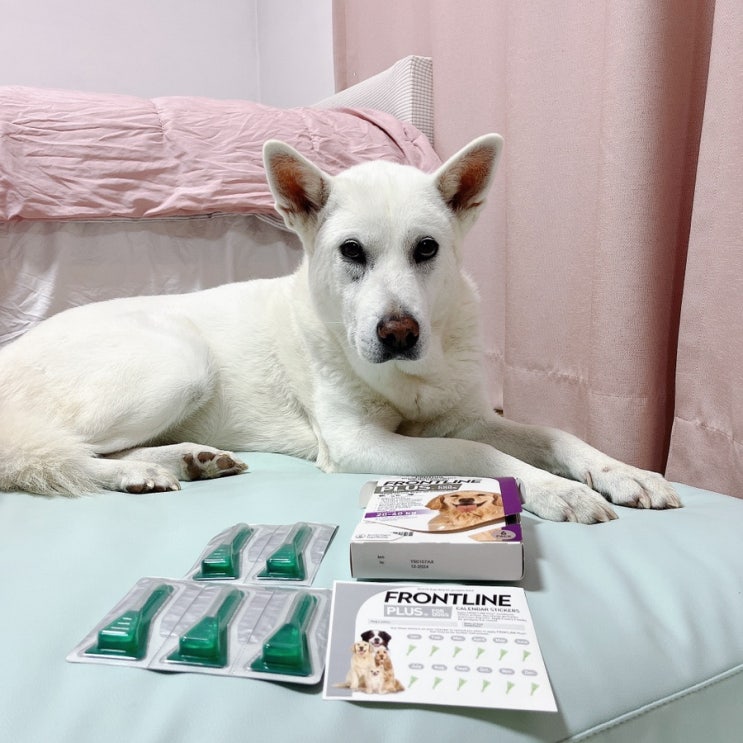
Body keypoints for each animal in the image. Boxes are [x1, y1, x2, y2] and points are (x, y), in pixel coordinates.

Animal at [0, 133, 682, 523]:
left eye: (427, 248)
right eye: (352, 252)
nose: (399, 333)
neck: (410, 378)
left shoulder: (464, 415)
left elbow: (556, 434)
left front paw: (625, 473)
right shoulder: (360, 443)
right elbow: (482, 455)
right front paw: (552, 490)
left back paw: (185, 460)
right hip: (178, 365)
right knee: (54, 451)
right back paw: (136, 472)